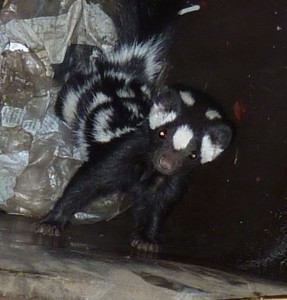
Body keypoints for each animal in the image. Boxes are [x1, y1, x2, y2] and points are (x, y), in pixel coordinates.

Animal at [33, 1, 233, 252]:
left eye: (194, 154)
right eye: (162, 133)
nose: (166, 162)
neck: (149, 169)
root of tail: (123, 69)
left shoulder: (171, 179)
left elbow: (157, 205)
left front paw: (146, 239)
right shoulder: (123, 152)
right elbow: (86, 182)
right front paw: (51, 223)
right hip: (71, 99)